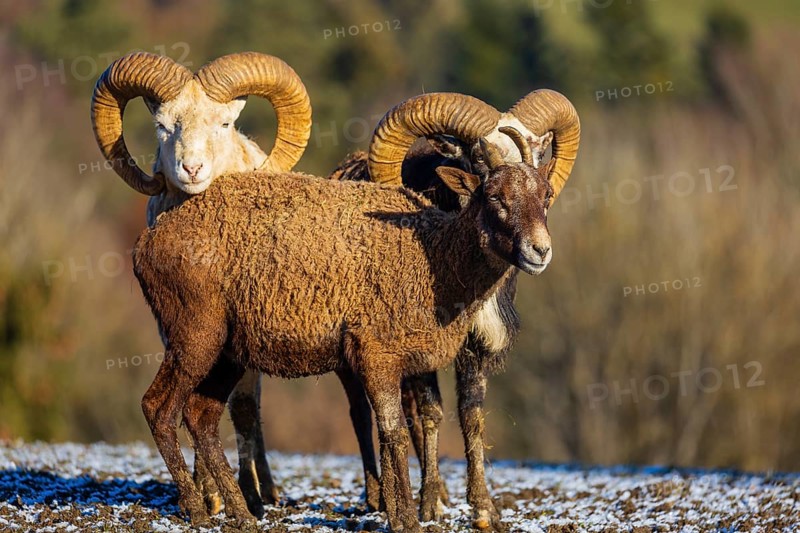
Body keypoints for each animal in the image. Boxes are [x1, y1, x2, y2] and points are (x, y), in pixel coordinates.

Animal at [90, 50, 313, 514]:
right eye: (163, 125)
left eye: (224, 124)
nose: (191, 168)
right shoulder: (177, 333)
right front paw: (207, 497)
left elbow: (241, 410)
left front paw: (240, 497)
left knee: (248, 411)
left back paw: (263, 491)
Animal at [131, 92, 579, 532]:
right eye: (494, 197)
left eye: (545, 196)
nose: (540, 251)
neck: (432, 253)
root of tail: (148, 241)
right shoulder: (377, 356)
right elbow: (395, 432)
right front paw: (407, 518)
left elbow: (421, 425)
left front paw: (420, 511)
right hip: (193, 337)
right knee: (159, 408)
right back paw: (198, 507)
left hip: (226, 353)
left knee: (201, 416)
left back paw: (242, 514)